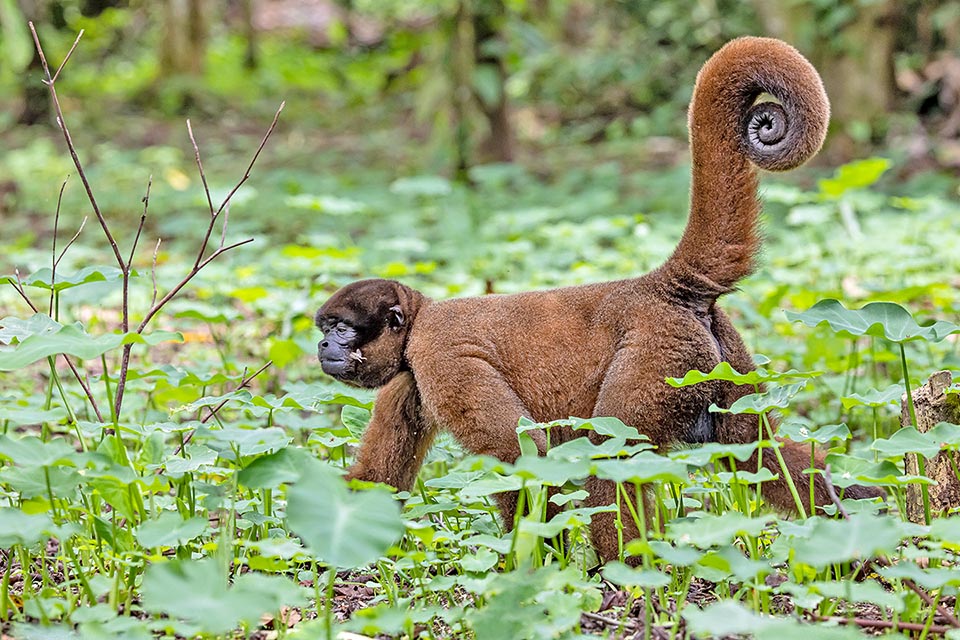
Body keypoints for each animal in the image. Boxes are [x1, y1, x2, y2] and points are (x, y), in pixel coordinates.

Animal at [316, 37, 884, 564]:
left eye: (340, 329)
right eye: (324, 330)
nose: (323, 347)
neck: (418, 319)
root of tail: (657, 285)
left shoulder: (437, 356)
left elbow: (523, 453)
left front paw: (536, 561)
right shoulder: (408, 377)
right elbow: (376, 478)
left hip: (659, 358)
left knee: (613, 456)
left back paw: (626, 575)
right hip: (720, 364)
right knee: (759, 451)